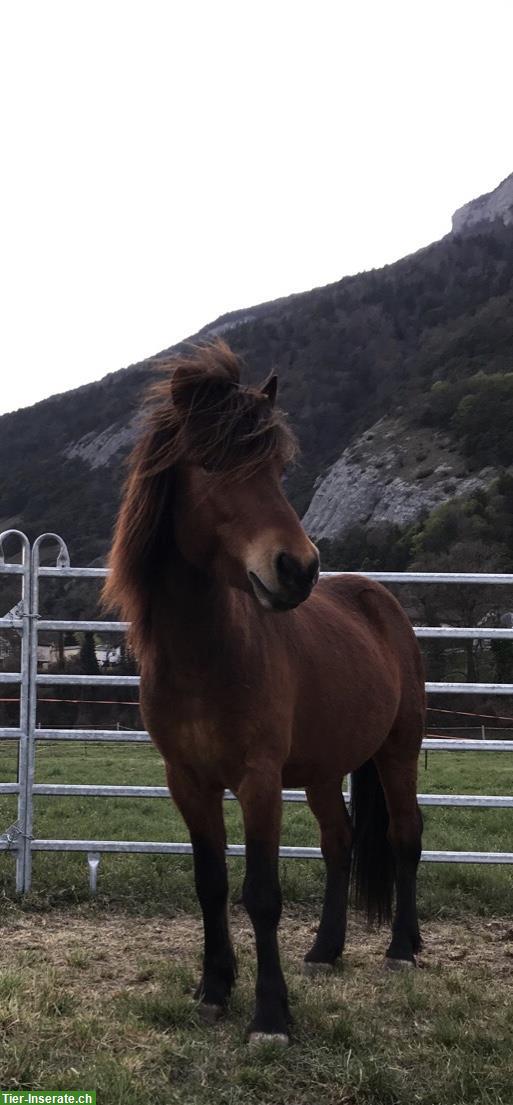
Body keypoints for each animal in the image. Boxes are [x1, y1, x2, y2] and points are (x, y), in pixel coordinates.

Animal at [103, 340, 424, 1047]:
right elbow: (211, 883)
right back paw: (326, 951)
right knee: (339, 842)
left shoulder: (258, 779)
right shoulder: (188, 781)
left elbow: (262, 894)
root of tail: (381, 600)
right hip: (325, 770)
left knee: (406, 835)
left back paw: (404, 948)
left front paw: (271, 1016)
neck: (205, 657)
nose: (298, 568)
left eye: (275, 468)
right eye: (211, 463)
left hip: (398, 750)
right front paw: (213, 989)